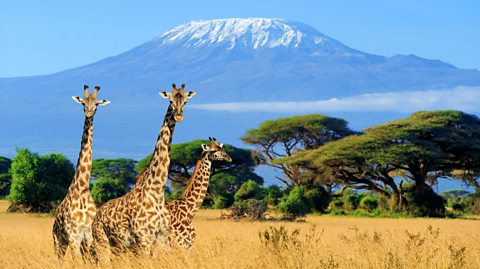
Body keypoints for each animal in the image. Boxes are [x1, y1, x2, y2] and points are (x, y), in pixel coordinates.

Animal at [52, 85, 110, 260]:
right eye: (83, 103)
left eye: (96, 104)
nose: (89, 113)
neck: (83, 189)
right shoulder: (74, 237)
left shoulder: (88, 236)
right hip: (58, 241)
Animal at [92, 82, 195, 260]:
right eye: (170, 100)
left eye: (186, 101)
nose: (179, 116)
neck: (157, 191)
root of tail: (96, 216)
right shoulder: (143, 239)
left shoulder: (162, 238)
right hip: (102, 243)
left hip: (118, 246)